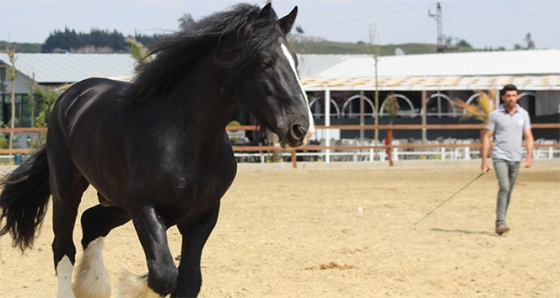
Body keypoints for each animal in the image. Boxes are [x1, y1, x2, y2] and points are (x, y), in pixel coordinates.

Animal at [0, 3, 316, 296]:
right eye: (265, 62)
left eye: (295, 61)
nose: (301, 128)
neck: (186, 141)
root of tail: (72, 96)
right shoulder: (145, 208)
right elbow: (162, 276)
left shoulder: (203, 216)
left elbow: (187, 281)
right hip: (67, 188)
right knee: (63, 247)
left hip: (116, 202)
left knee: (92, 223)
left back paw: (94, 284)